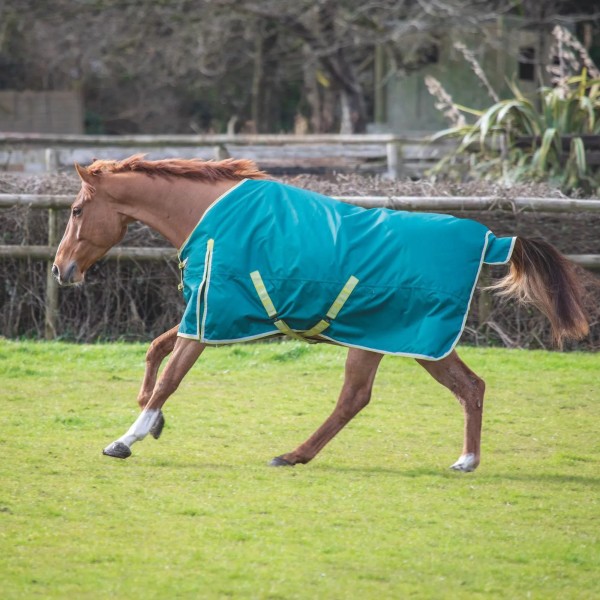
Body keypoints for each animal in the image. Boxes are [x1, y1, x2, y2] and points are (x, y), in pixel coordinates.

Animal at [54, 156, 588, 474]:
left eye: (77, 210)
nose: (61, 270)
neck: (211, 217)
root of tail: (490, 239)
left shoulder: (210, 318)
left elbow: (170, 376)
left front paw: (126, 439)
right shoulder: (202, 313)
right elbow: (155, 350)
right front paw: (153, 418)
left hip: (383, 341)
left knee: (355, 398)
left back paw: (293, 455)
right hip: (420, 345)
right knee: (470, 388)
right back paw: (466, 460)